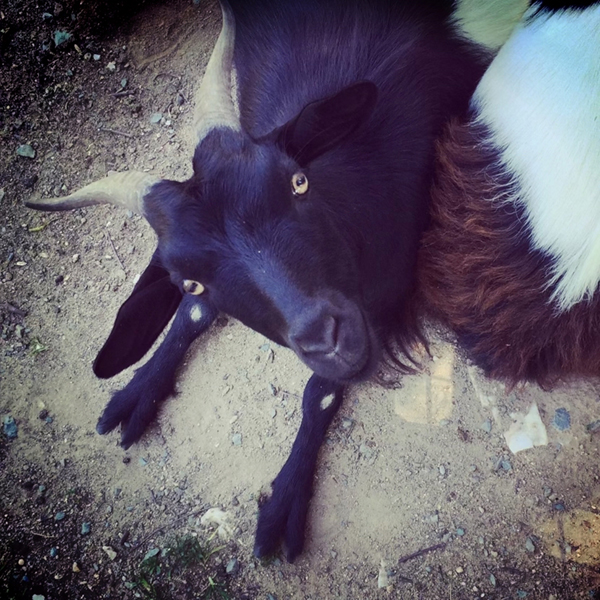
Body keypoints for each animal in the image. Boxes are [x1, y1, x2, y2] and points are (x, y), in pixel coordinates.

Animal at [26, 0, 500, 561]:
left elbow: (319, 392)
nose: (328, 338)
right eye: (192, 280)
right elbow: (192, 317)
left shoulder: (382, 301)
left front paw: (282, 504)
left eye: (297, 181)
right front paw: (137, 391)